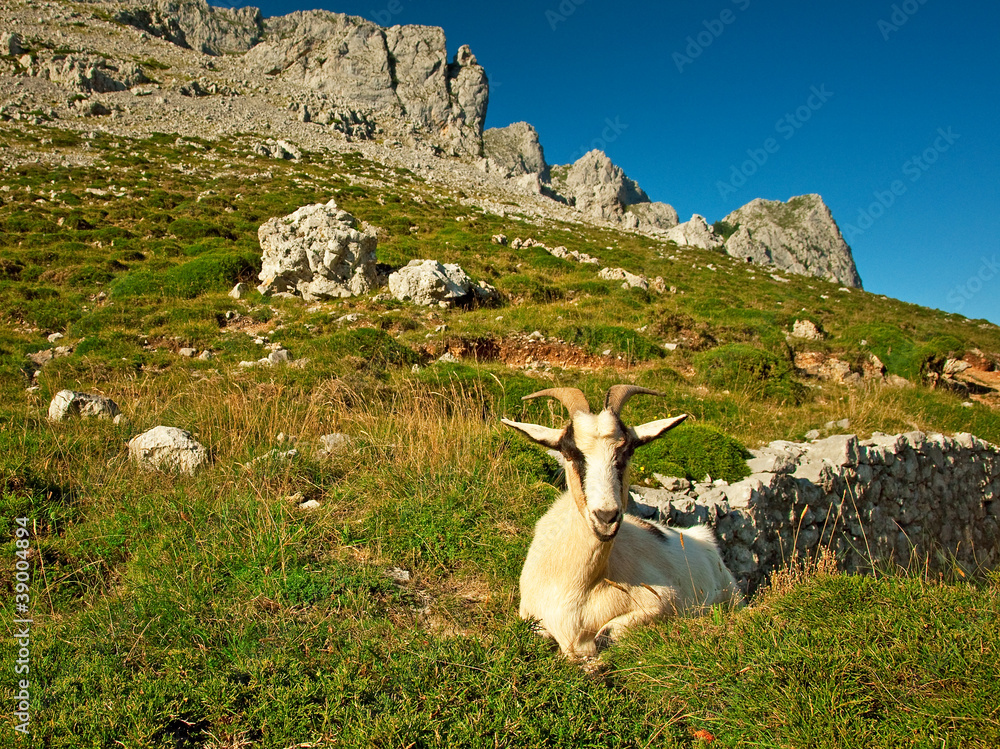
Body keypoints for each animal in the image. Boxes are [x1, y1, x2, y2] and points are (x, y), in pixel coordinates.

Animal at [502, 385, 742, 658]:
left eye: (627, 451)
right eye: (570, 452)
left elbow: (605, 636)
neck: (578, 587)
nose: (606, 517)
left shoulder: (665, 601)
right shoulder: (529, 615)